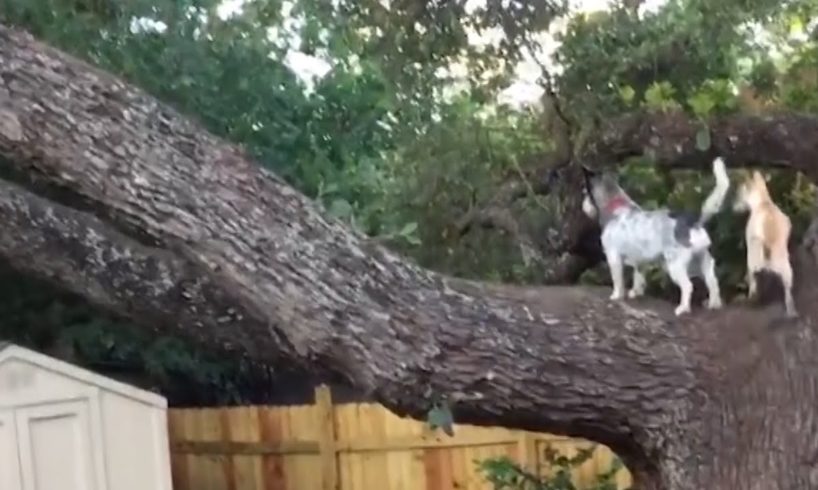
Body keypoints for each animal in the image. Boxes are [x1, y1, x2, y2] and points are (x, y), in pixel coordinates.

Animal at [576, 159, 728, 316]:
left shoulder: (613, 257)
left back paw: (683, 308)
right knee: (712, 281)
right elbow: (638, 277)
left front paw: (616, 296)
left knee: (688, 285)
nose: (583, 206)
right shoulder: (639, 261)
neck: (616, 207)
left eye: (585, 192)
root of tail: (693, 222)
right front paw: (636, 292)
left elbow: (617, 280)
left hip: (676, 265)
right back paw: (714, 304)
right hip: (702, 261)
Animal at [728, 171, 792, 318]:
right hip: (786, 267)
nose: (733, 206)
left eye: (739, 192)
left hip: (754, 260)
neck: (764, 202)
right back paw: (792, 313)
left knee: (753, 281)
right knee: (787, 290)